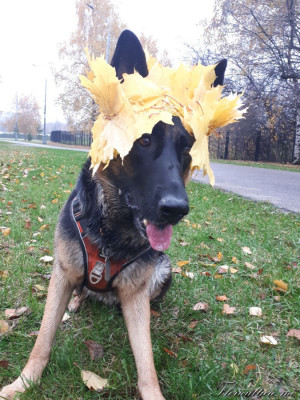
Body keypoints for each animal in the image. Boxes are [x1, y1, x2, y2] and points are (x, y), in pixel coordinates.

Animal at [0, 29, 225, 398]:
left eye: (188, 147)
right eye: (144, 140)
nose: (177, 210)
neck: (111, 231)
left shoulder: (135, 294)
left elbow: (147, 363)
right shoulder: (62, 274)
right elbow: (42, 339)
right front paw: (24, 383)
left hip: (163, 271)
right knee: (79, 292)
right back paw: (77, 302)